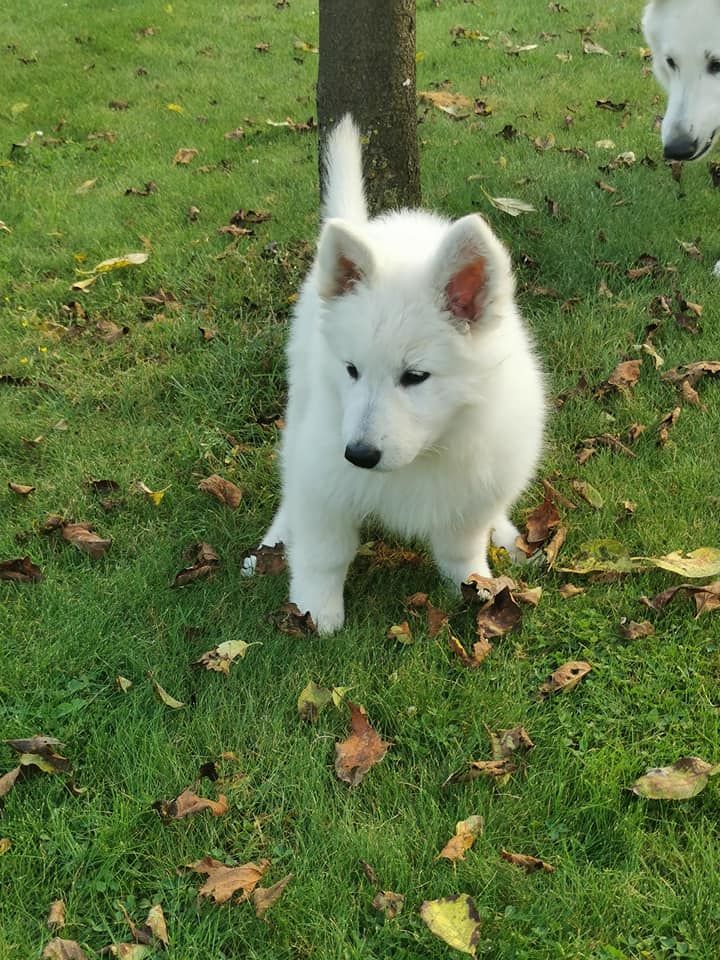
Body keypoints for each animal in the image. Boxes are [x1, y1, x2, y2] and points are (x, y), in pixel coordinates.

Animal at [248, 116, 544, 632]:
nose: (359, 455)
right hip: (302, 405)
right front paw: (315, 613)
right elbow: (323, 553)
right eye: (351, 370)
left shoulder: (470, 491)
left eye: (415, 377)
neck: (423, 455)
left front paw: (475, 589)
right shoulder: (325, 478)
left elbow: (460, 550)